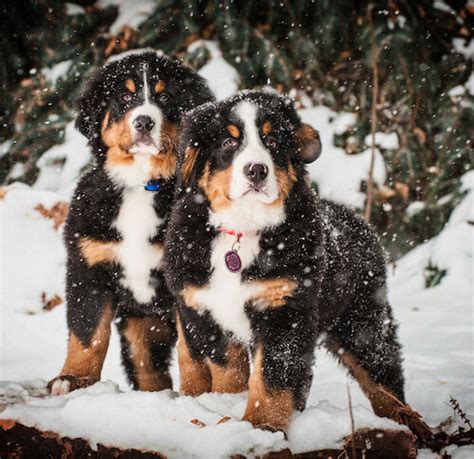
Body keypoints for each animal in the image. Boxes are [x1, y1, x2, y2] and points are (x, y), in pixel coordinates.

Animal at [48, 49, 215, 396]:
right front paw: (72, 379)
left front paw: (196, 394)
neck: (141, 184)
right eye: (125, 97)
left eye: (165, 96)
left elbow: (191, 349)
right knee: (147, 368)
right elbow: (87, 332)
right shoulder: (88, 266)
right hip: (140, 328)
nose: (144, 121)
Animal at [165, 90, 432, 438]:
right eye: (228, 142)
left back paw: (408, 421)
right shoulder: (205, 311)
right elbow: (228, 370)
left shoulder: (286, 307)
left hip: (362, 321)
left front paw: (261, 425)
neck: (243, 229)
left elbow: (271, 376)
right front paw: (231, 410)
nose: (256, 170)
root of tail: (360, 222)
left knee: (383, 377)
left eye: (272, 141)